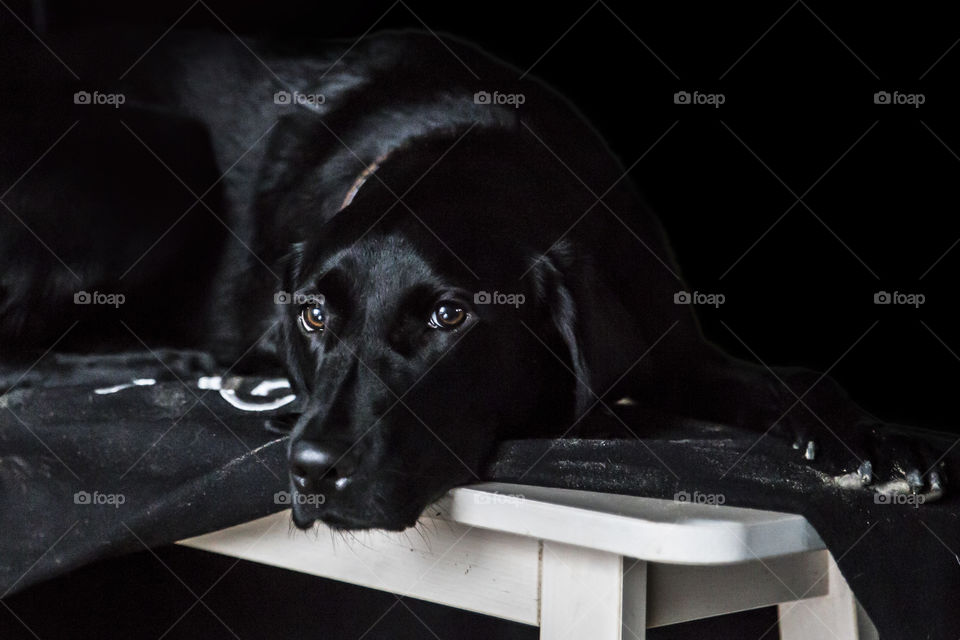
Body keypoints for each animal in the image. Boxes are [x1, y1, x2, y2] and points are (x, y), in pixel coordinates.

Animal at [0, 28, 944, 528]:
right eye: (314, 316)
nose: (311, 470)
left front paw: (878, 440)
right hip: (158, 156)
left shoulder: (667, 343)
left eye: (450, 317)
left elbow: (796, 376)